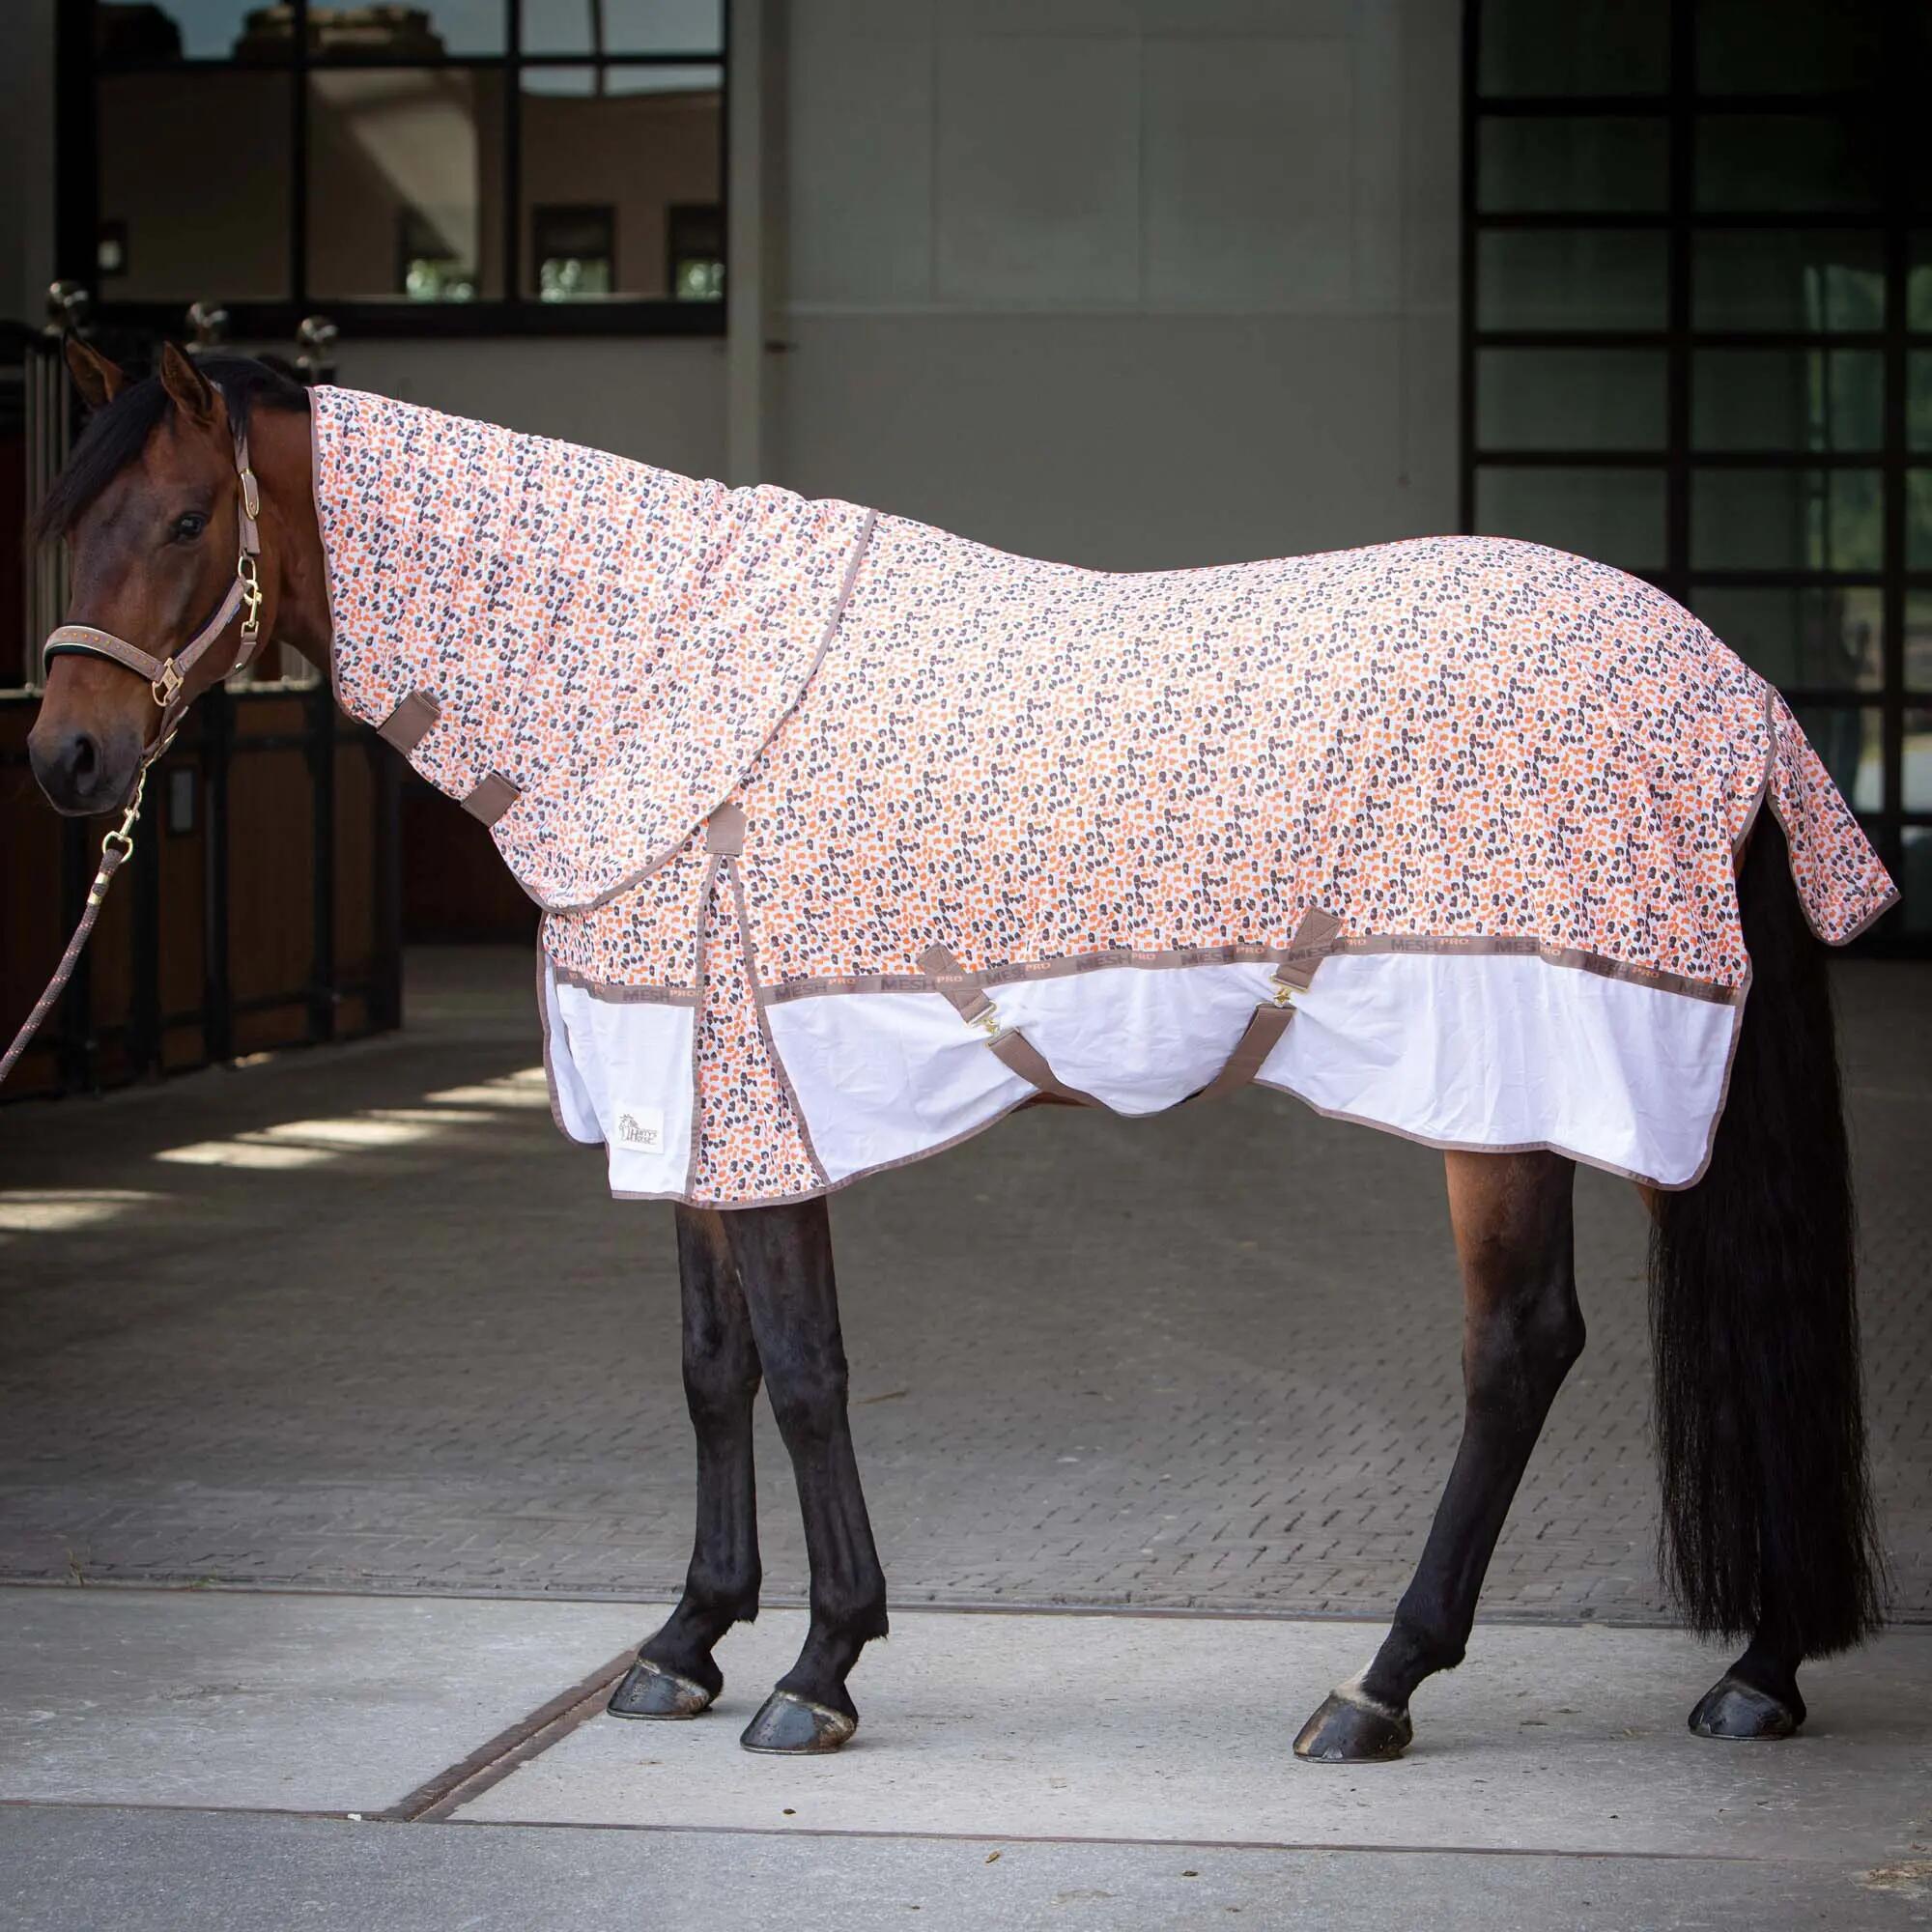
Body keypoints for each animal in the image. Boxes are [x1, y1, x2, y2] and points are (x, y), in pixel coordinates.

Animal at [22, 338, 1888, 1763]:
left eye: (183, 518)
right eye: (65, 526)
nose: (66, 758)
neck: (650, 676)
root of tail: (1730, 686)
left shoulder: (756, 1094)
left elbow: (804, 1370)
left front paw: (819, 1668)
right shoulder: (687, 1104)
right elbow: (711, 1370)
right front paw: (684, 1644)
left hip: (1529, 1081)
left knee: (1521, 1348)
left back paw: (1386, 1687)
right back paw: (1755, 1669)